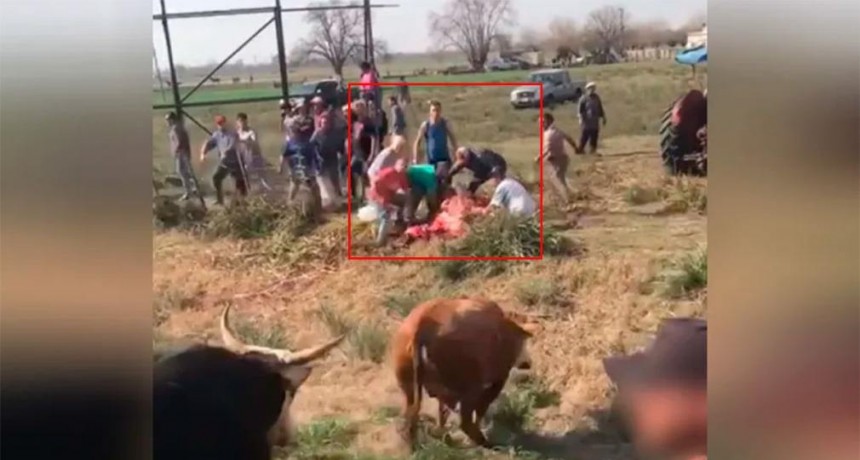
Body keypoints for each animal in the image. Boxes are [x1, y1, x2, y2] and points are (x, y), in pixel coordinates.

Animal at [390, 297, 539, 449]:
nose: (527, 363)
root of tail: (423, 325)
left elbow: (443, 412)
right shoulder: (496, 381)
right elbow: (479, 411)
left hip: (409, 387)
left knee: (409, 416)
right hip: (471, 388)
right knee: (465, 422)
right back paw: (484, 442)